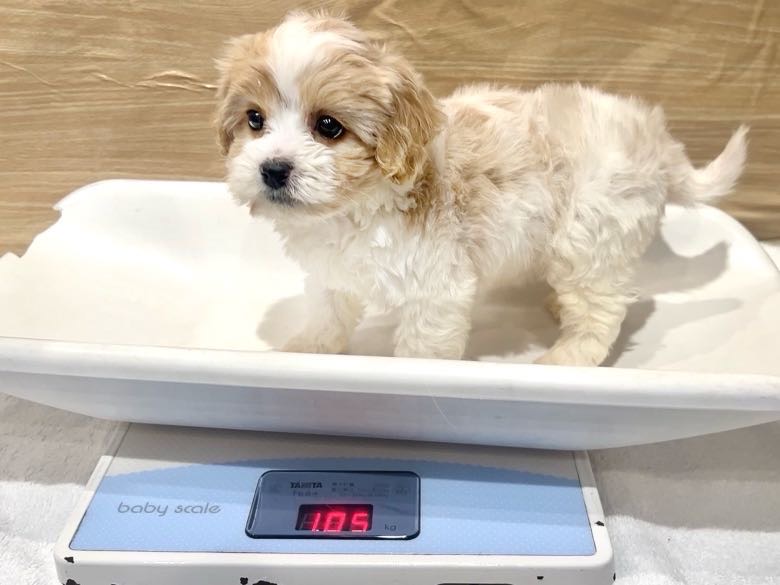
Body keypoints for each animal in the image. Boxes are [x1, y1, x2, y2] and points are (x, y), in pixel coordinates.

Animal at [215, 12, 747, 366]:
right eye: (254, 120)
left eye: (328, 126)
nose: (273, 169)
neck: (357, 207)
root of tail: (655, 139)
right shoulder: (332, 274)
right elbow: (327, 313)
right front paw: (310, 350)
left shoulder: (437, 289)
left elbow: (422, 350)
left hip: (591, 235)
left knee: (602, 309)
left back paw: (566, 358)